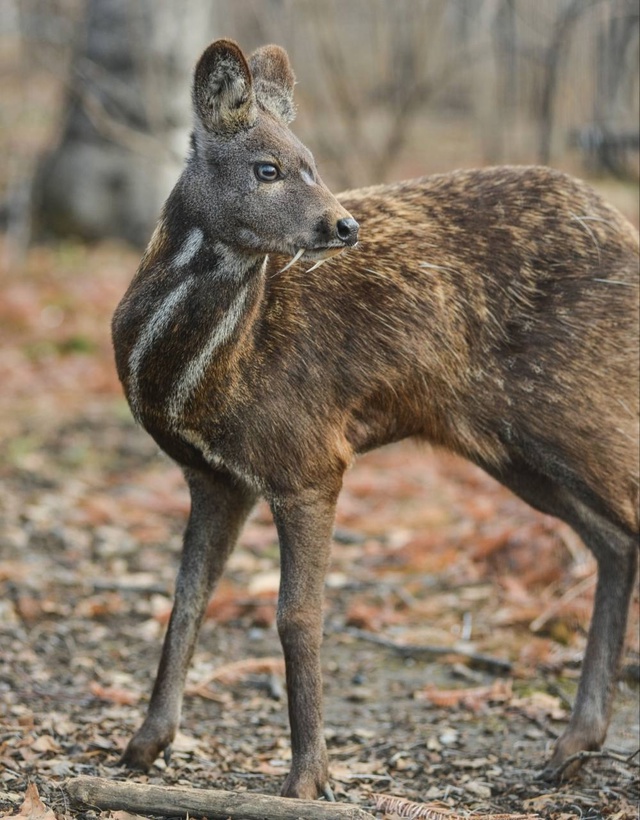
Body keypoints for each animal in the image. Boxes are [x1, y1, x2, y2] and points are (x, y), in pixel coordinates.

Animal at [112, 40, 636, 800]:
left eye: (312, 161)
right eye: (267, 167)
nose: (342, 225)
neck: (202, 377)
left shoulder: (309, 458)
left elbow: (297, 615)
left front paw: (308, 777)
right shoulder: (214, 476)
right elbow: (184, 602)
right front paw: (144, 746)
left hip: (582, 402)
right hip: (512, 445)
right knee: (615, 541)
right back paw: (571, 745)